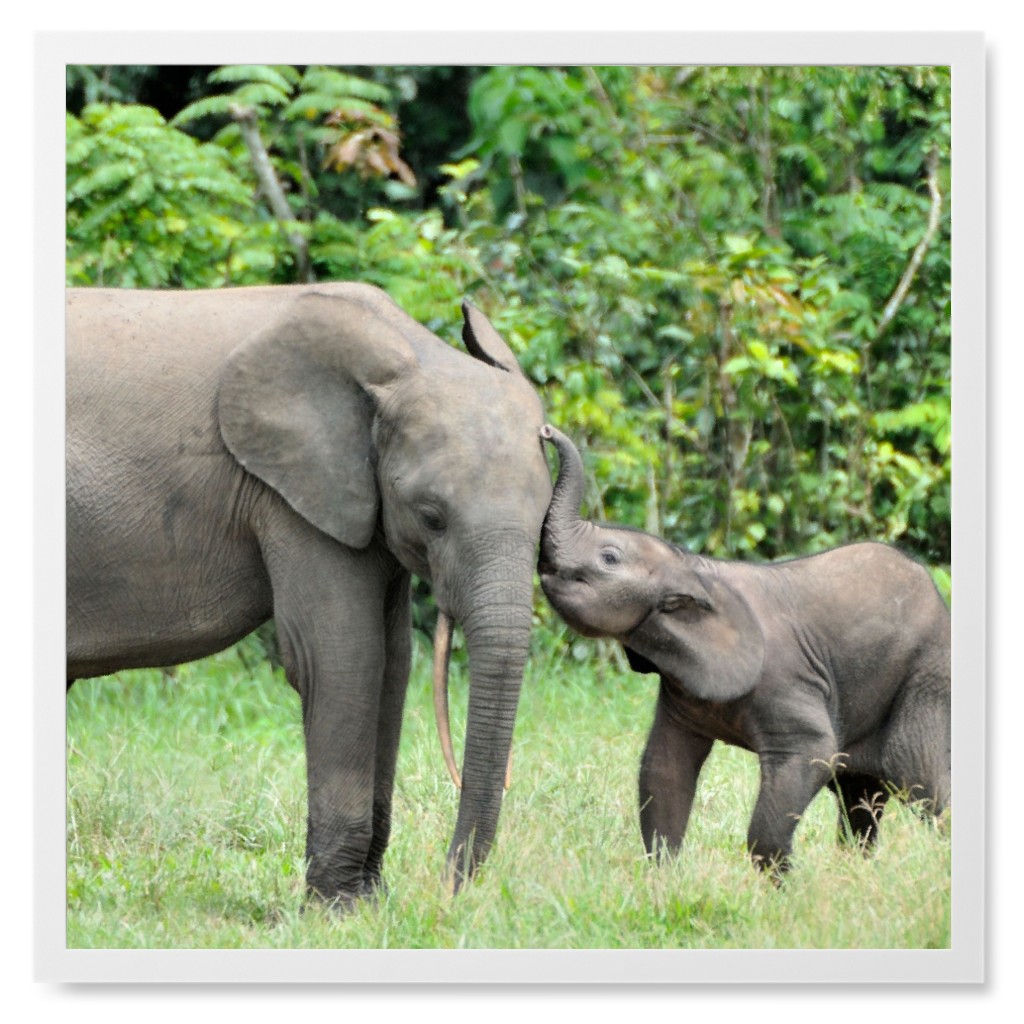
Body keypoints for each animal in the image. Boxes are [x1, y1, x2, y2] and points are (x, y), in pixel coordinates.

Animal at [66, 282, 554, 908]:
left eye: (546, 516)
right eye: (432, 517)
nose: (450, 888)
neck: (406, 354)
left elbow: (393, 665)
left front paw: (371, 904)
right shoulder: (291, 493)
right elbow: (343, 658)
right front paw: (337, 910)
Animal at [537, 425, 950, 876]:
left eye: (609, 558)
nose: (546, 431)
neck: (694, 567)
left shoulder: (786, 682)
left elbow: (811, 752)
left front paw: (783, 884)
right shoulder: (683, 690)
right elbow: (664, 769)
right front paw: (664, 879)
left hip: (925, 678)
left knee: (921, 780)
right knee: (859, 796)